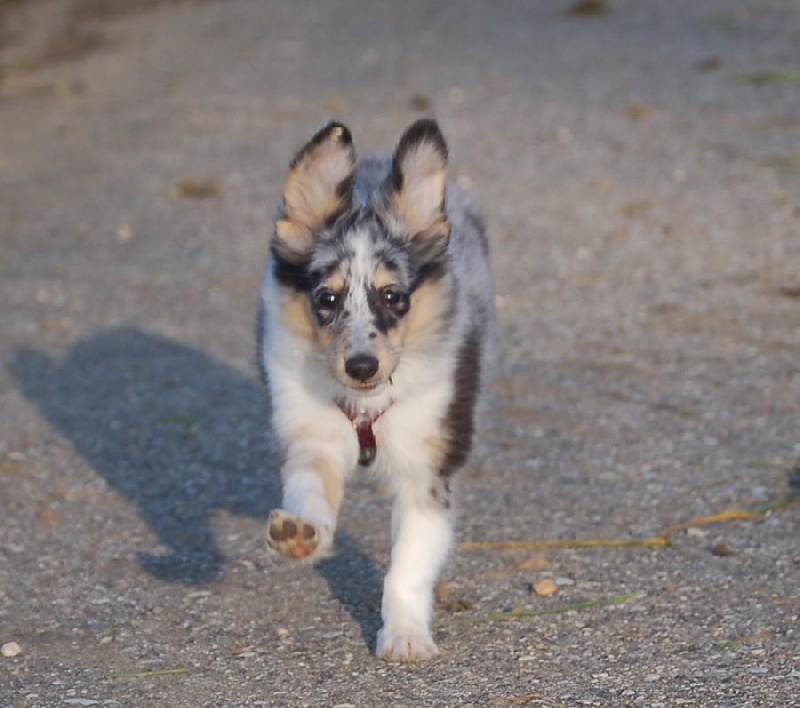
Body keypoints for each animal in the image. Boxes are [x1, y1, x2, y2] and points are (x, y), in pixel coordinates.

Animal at [260, 119, 494, 660]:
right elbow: (311, 493)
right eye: (327, 299)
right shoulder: (313, 439)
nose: (362, 367)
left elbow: (407, 564)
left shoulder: (426, 474)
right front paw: (302, 536)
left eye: (393, 296)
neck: (367, 407)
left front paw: (406, 636)